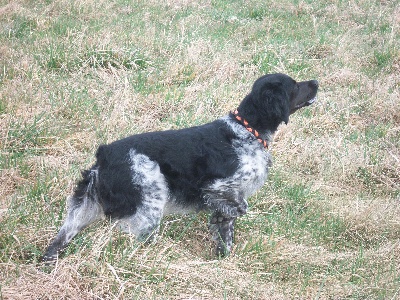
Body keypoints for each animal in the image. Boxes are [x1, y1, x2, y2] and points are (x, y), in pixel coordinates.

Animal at [42, 72, 318, 260]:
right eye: (295, 85)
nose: (315, 82)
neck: (248, 129)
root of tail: (104, 154)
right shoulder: (220, 186)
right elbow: (239, 208)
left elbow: (226, 234)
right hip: (149, 207)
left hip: (81, 211)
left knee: (57, 241)